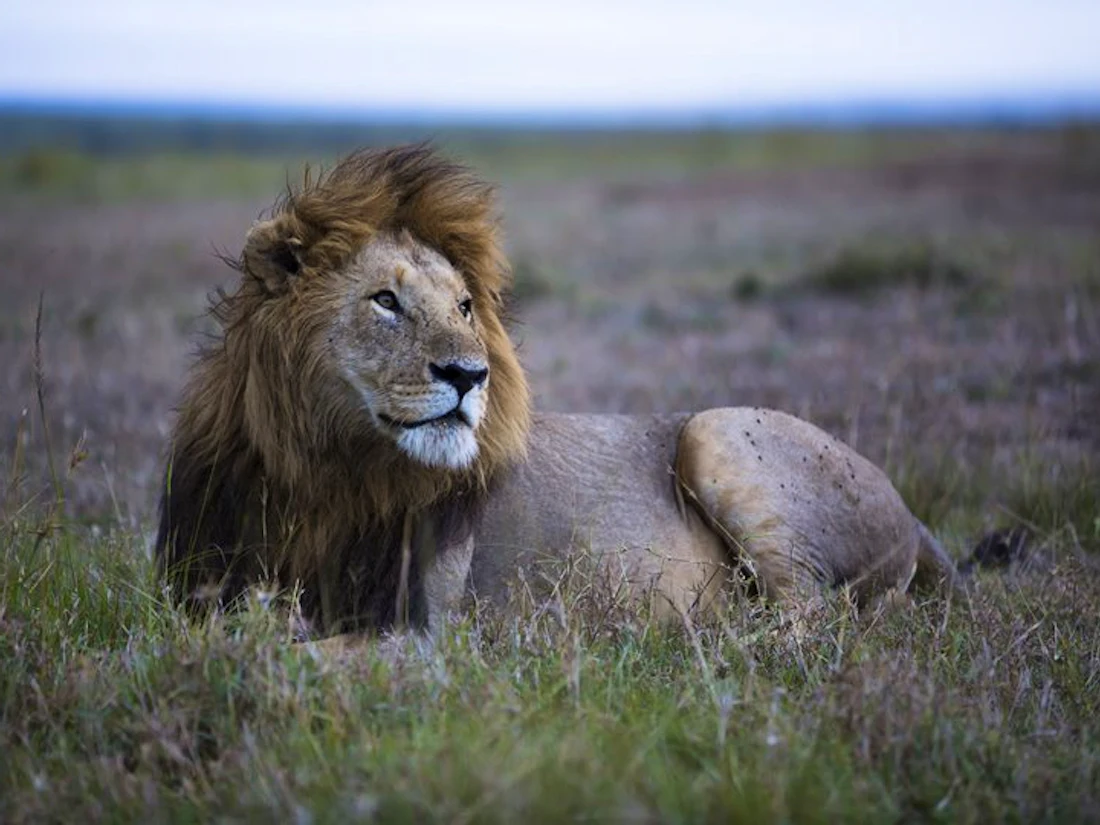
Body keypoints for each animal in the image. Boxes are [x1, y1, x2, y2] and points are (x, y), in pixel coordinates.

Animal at [155, 144, 963, 637]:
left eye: (465, 307)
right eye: (385, 300)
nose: (469, 375)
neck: (318, 475)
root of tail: (913, 513)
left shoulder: (418, 636)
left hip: (717, 432)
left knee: (813, 617)